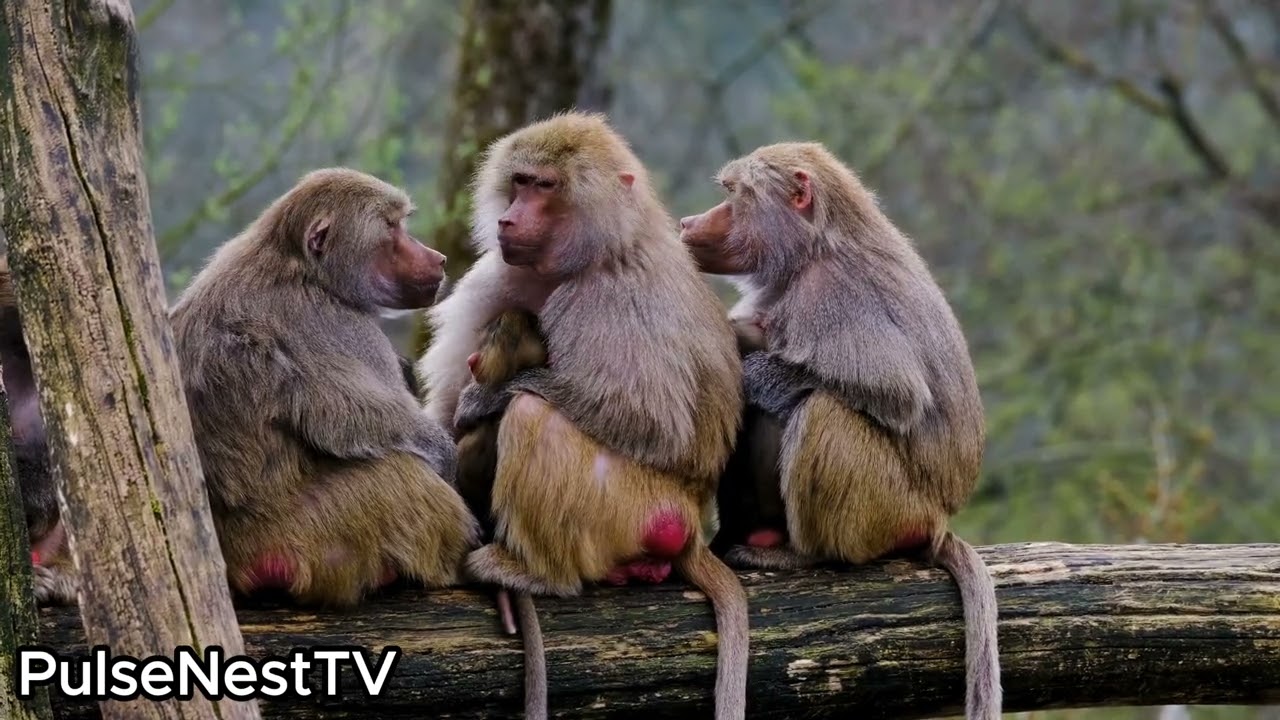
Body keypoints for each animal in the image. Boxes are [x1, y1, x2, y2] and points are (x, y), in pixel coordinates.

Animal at [169, 168, 479, 607]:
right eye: (391, 227)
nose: (438, 258)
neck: (302, 267)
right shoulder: (337, 323)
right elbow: (358, 420)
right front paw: (446, 458)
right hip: (317, 530)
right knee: (403, 477)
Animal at [417, 112, 750, 720]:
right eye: (520, 182)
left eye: (546, 187)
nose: (507, 218)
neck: (594, 253)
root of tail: (693, 523)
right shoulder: (499, 277)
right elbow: (448, 414)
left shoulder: (612, 297)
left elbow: (654, 424)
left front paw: (486, 400)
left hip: (634, 505)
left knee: (535, 414)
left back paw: (535, 573)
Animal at [679, 142, 1001, 720]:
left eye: (736, 195)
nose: (688, 223)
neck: (813, 247)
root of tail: (939, 519)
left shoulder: (830, 294)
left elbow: (894, 393)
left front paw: (756, 367)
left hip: (892, 508)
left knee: (823, 411)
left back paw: (805, 555)